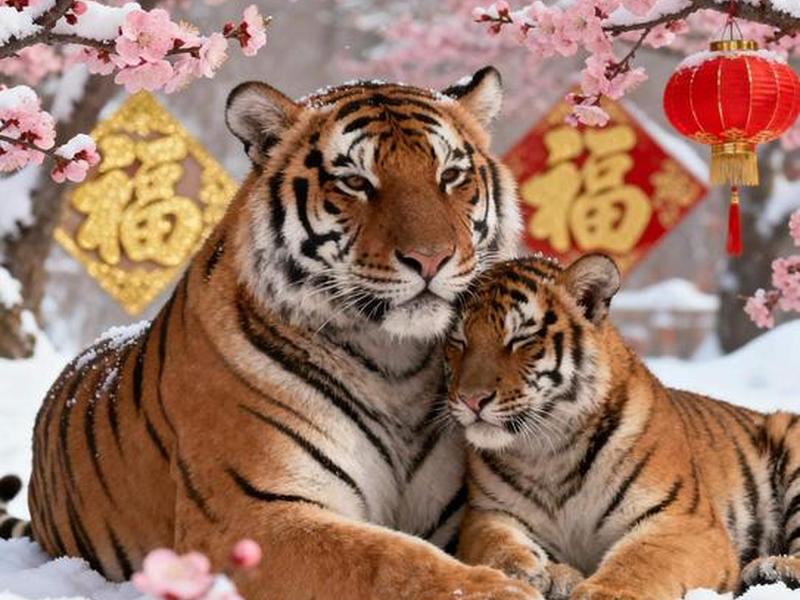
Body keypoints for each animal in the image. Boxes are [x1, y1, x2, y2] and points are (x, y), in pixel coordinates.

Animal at [0, 68, 542, 600]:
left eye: (450, 176)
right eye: (355, 181)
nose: (430, 259)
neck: (396, 365)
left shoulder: (461, 506)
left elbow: (500, 533)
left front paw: (533, 570)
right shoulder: (248, 514)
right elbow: (386, 557)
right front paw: (495, 590)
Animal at [443, 253, 800, 600]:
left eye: (521, 339)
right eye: (458, 341)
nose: (471, 399)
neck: (547, 453)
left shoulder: (682, 519)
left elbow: (639, 562)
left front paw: (596, 591)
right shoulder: (487, 514)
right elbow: (496, 546)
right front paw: (538, 574)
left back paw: (773, 569)